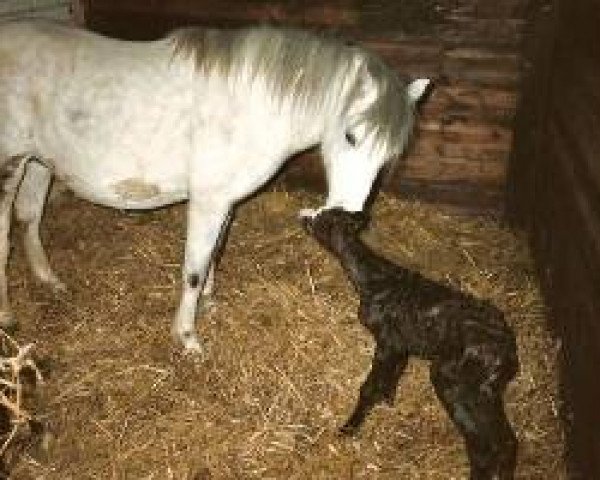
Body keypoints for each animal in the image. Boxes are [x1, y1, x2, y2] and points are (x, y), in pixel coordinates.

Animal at [0, 20, 428, 352]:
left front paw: (209, 301)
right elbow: (193, 267)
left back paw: (49, 280)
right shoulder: (207, 200)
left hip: (40, 162)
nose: (350, 217)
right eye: (351, 136)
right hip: (10, 166)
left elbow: (214, 254)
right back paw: (7, 317)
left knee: (30, 218)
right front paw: (187, 337)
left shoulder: (226, 201)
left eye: (390, 155)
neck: (252, 106)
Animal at [302, 209, 516, 480]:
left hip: (456, 382)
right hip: (484, 391)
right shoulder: (400, 344)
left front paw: (350, 427)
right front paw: (387, 402)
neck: (374, 280)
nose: (302, 217)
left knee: (485, 442)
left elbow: (369, 386)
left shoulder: (387, 342)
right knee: (505, 441)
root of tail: (506, 354)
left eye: (320, 221)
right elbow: (393, 375)